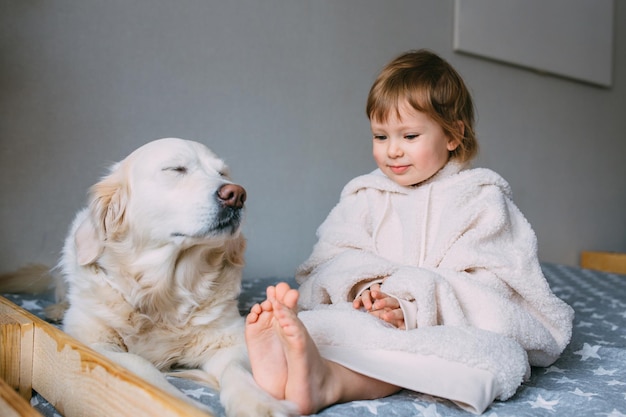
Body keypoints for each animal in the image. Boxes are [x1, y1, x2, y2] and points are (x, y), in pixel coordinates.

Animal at [36, 139, 294, 416]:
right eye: (176, 169)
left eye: (223, 174)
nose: (236, 195)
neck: (164, 291)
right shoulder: (93, 343)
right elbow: (141, 367)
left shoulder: (231, 340)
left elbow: (237, 370)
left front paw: (260, 402)